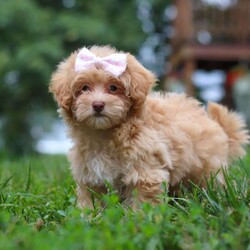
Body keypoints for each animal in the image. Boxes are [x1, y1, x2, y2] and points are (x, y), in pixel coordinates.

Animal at [48, 45, 248, 209]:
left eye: (113, 88)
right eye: (84, 88)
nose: (97, 105)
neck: (106, 133)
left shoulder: (144, 170)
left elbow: (142, 201)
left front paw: (139, 219)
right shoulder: (91, 176)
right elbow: (93, 200)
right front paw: (88, 217)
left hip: (208, 169)